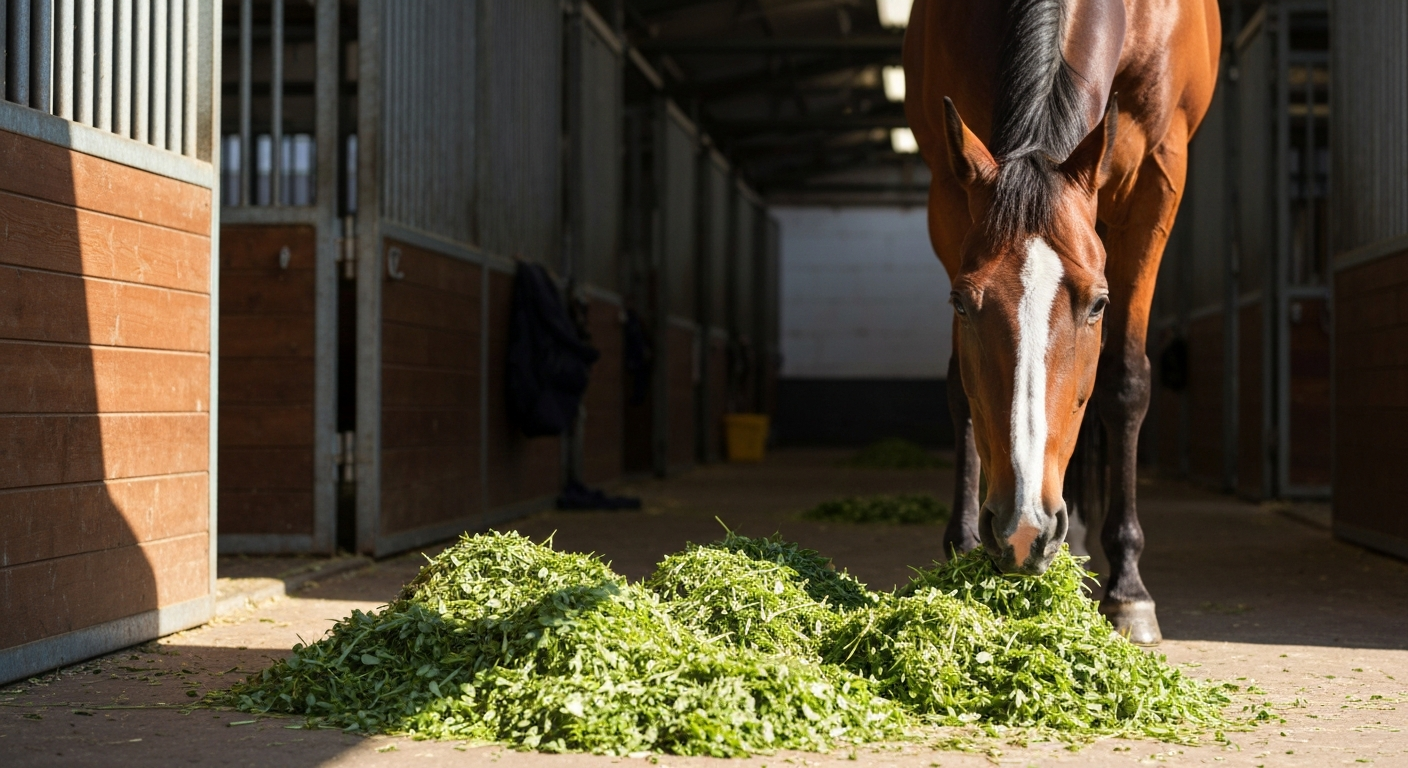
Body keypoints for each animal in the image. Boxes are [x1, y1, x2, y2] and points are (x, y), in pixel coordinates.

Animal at [903, 0, 1220, 645]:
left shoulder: (1157, 178)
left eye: (1098, 304)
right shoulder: (949, 187)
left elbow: (1124, 382)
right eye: (959, 302)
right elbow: (959, 387)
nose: (1022, 528)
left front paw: (1129, 590)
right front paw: (962, 546)